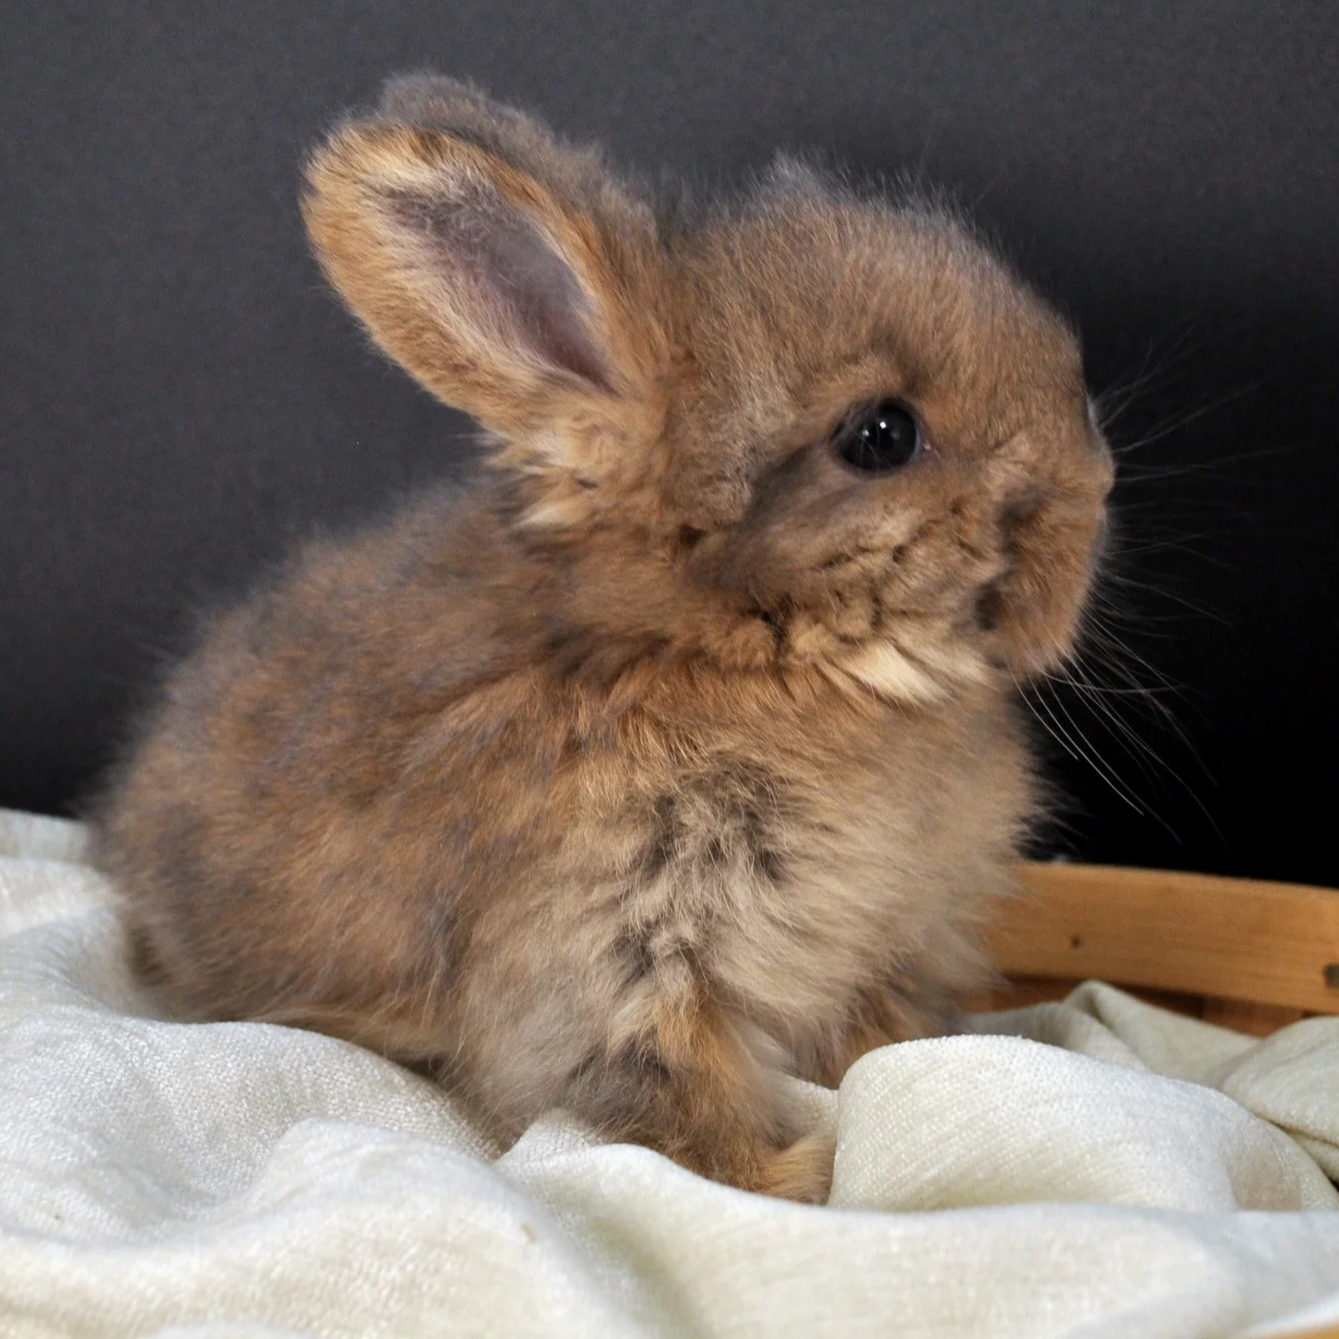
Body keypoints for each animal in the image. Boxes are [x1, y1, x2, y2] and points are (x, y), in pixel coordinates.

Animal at [94, 73, 1113, 1203]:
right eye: (880, 435)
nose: (1094, 492)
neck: (727, 648)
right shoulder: (623, 958)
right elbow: (678, 1092)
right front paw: (792, 1178)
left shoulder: (893, 942)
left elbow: (882, 1035)